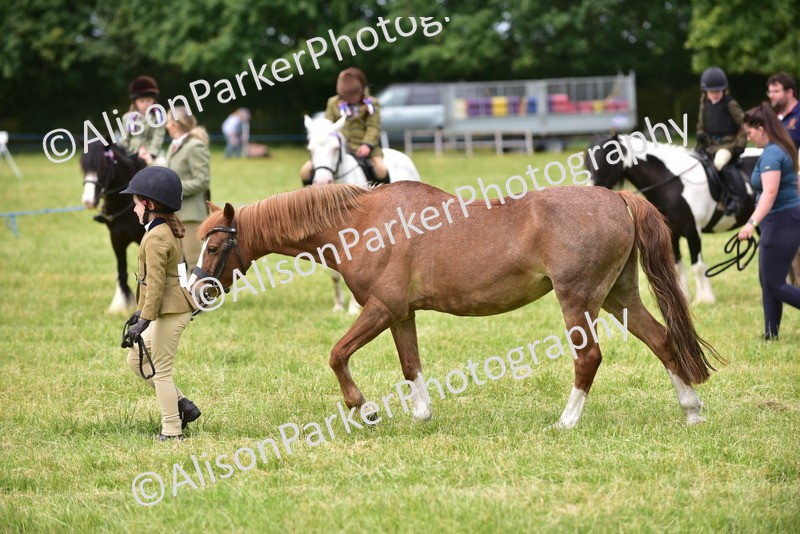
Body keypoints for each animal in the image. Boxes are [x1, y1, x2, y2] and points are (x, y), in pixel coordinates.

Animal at [80, 142, 145, 312]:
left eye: (103, 167)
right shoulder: (116, 239)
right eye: (83, 166)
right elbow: (121, 272)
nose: (88, 201)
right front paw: (121, 304)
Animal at [190, 181, 722, 430]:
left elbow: (338, 355)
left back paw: (567, 421)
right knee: (663, 340)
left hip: (579, 300)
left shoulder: (380, 309)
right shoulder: (400, 314)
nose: (197, 292)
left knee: (588, 357)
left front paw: (366, 410)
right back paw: (692, 411)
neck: (362, 222)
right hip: (619, 296)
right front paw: (421, 415)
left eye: (214, 246)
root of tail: (617, 198)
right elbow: (411, 365)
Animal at [304, 114, 422, 314]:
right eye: (310, 150)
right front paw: (338, 306)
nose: (322, 181)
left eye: (336, 148)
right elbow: (335, 275)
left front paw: (352, 308)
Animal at [587, 133, 762, 304]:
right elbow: (677, 266)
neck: (675, 184)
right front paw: (684, 297)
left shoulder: (693, 232)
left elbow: (697, 266)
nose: (591, 195)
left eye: (607, 161)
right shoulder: (672, 233)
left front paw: (705, 299)